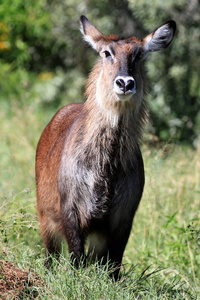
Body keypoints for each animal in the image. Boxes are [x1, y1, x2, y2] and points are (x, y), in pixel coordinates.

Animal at [35, 15, 175, 278]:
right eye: (107, 52)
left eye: (138, 55)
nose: (125, 83)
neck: (106, 169)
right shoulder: (71, 210)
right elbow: (76, 259)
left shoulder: (123, 218)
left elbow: (114, 266)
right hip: (46, 219)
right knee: (50, 258)